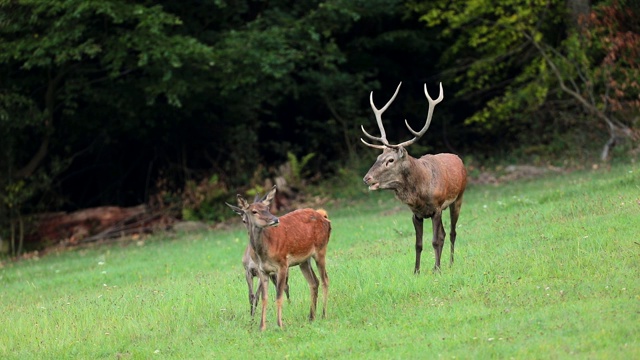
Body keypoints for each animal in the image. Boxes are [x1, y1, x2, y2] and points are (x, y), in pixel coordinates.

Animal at [226, 187, 330, 330]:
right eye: (254, 211)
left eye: (268, 208)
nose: (275, 219)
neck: (264, 252)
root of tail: (324, 217)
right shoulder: (262, 271)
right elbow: (263, 298)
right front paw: (261, 327)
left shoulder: (282, 264)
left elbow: (278, 295)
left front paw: (280, 324)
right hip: (304, 260)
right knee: (314, 282)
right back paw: (311, 317)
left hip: (321, 250)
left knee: (325, 279)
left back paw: (323, 314)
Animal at [362, 81, 468, 272]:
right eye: (378, 157)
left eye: (390, 160)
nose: (367, 178)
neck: (420, 194)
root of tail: (458, 159)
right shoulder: (416, 214)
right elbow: (418, 244)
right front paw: (417, 271)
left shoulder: (436, 208)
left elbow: (434, 241)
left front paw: (438, 269)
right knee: (444, 233)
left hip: (458, 198)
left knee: (452, 232)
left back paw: (449, 263)